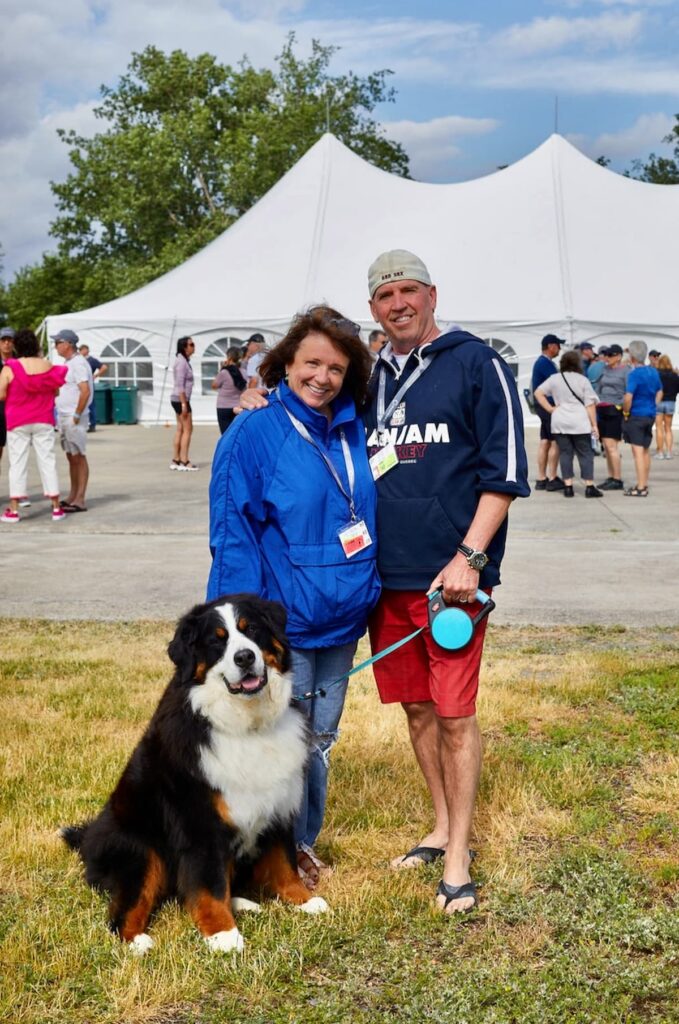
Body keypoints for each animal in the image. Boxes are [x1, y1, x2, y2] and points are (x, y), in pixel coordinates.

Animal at [62, 598, 327, 954]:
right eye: (216, 641)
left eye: (252, 629)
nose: (245, 657)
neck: (247, 726)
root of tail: (87, 838)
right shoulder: (199, 822)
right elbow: (208, 884)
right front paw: (223, 934)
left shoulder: (277, 804)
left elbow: (284, 862)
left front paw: (304, 900)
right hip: (141, 849)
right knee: (127, 907)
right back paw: (136, 941)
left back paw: (243, 903)